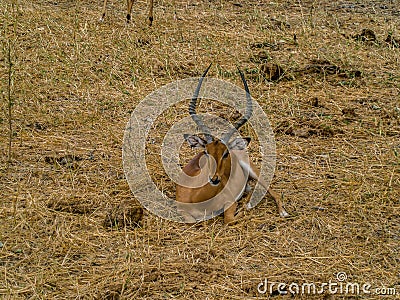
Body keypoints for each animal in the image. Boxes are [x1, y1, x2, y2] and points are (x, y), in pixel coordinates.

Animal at [177, 64, 290, 224]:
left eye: (225, 154)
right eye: (206, 152)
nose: (214, 179)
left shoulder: (230, 204)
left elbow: (229, 218)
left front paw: (246, 206)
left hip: (252, 169)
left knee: (271, 190)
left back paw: (281, 211)